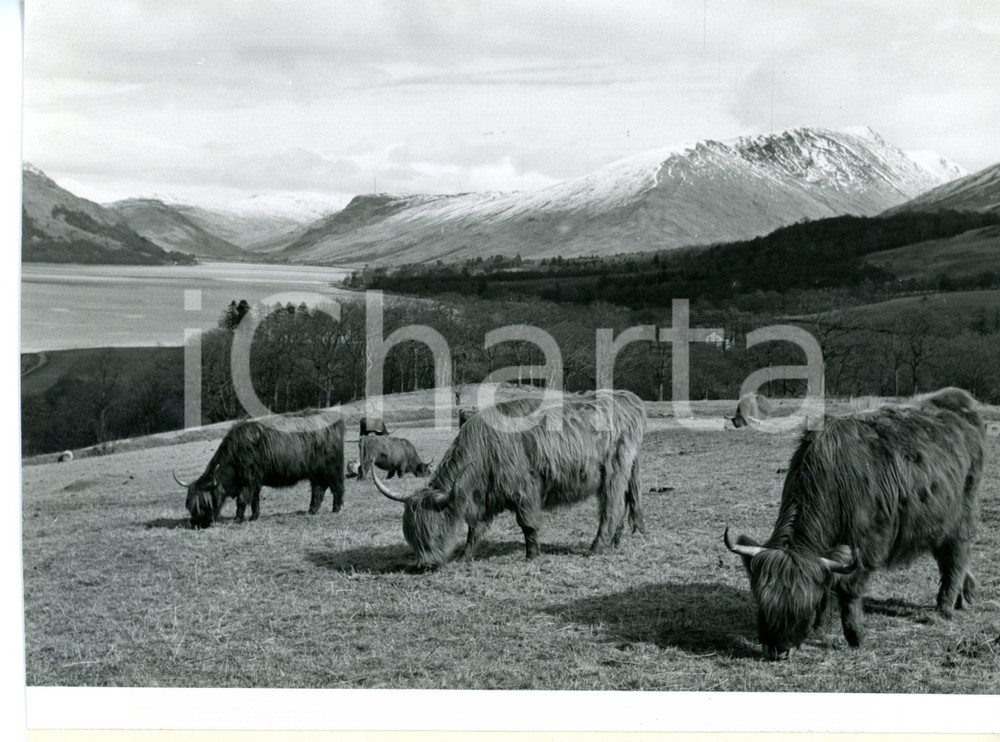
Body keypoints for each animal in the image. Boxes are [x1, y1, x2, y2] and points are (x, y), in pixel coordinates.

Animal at [173, 409, 345, 528]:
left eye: (203, 503)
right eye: (189, 506)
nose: (195, 524)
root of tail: (333, 419)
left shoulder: (248, 481)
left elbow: (242, 501)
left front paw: (238, 519)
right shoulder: (254, 483)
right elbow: (255, 501)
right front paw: (254, 517)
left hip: (331, 468)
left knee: (337, 486)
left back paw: (336, 508)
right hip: (316, 472)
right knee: (318, 489)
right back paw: (312, 510)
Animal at [371, 390, 646, 567]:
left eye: (435, 533)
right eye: (412, 538)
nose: (424, 565)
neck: (484, 449)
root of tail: (625, 400)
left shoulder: (524, 490)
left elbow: (528, 524)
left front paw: (531, 555)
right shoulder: (483, 499)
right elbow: (474, 530)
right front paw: (464, 557)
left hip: (613, 472)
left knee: (611, 507)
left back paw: (596, 548)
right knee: (624, 503)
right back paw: (615, 542)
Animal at [724, 387, 986, 660]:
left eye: (803, 604)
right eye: (762, 600)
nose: (778, 650)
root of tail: (955, 399)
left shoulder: (866, 545)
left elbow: (849, 591)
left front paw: (855, 635)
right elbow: (828, 584)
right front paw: (820, 626)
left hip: (961, 517)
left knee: (955, 560)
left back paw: (945, 607)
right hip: (937, 522)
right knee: (950, 558)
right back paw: (964, 596)